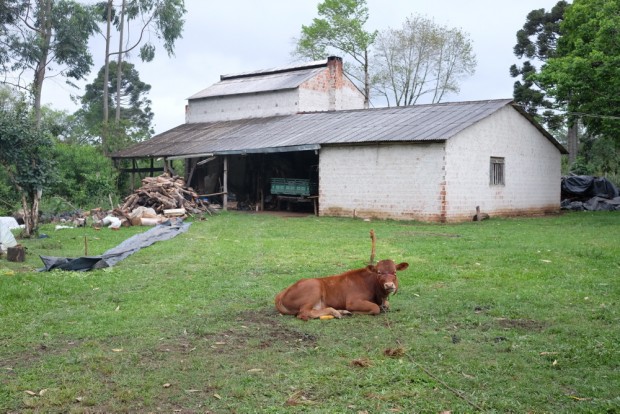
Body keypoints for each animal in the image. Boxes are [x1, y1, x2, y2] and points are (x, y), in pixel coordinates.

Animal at [274, 258, 410, 320]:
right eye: (379, 272)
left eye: (395, 272)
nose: (389, 285)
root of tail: (281, 293)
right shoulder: (352, 302)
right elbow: (375, 308)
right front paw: (355, 312)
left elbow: (386, 305)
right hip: (314, 287)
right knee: (304, 312)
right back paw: (337, 312)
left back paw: (341, 311)